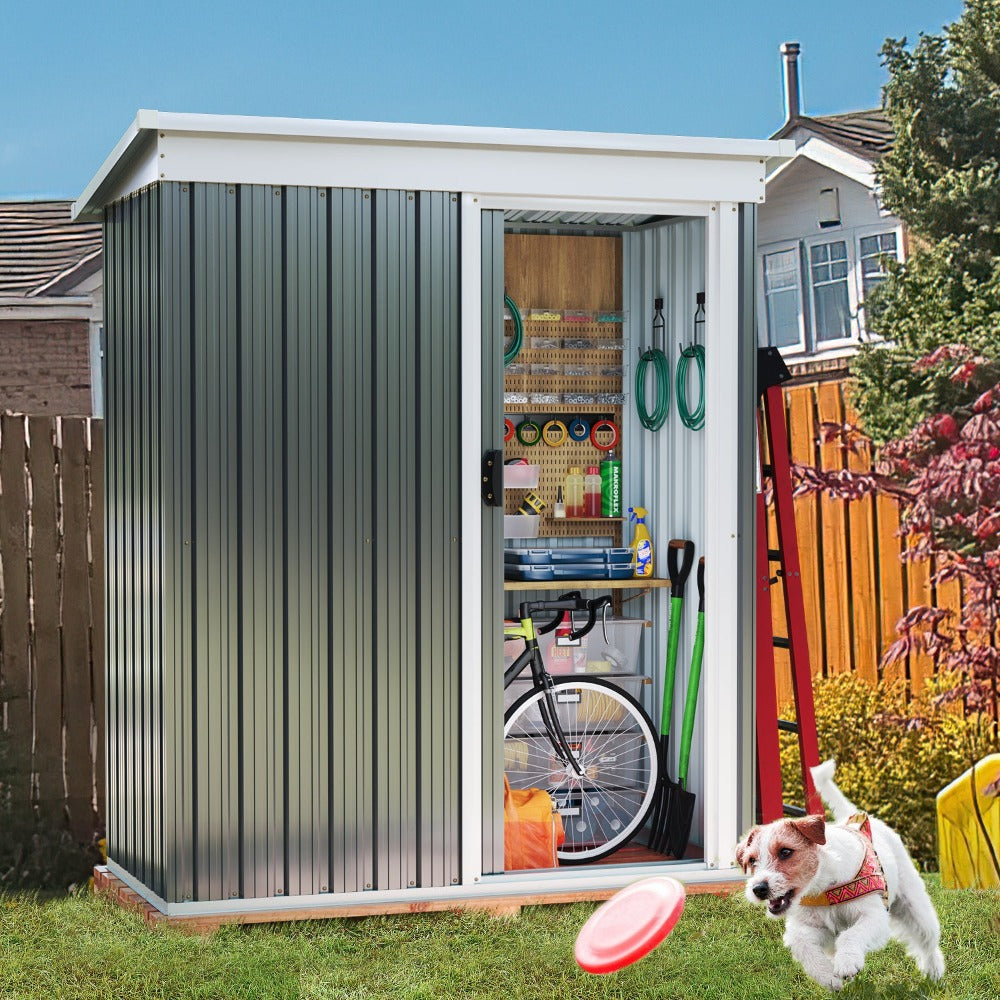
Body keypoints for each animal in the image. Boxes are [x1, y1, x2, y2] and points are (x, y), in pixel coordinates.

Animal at [736, 760, 944, 988]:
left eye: (785, 852)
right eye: (751, 860)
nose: (759, 889)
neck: (824, 887)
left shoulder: (874, 916)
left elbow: (850, 935)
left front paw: (847, 964)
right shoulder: (814, 929)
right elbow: (802, 944)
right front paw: (828, 977)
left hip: (915, 908)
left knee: (928, 942)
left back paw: (934, 972)